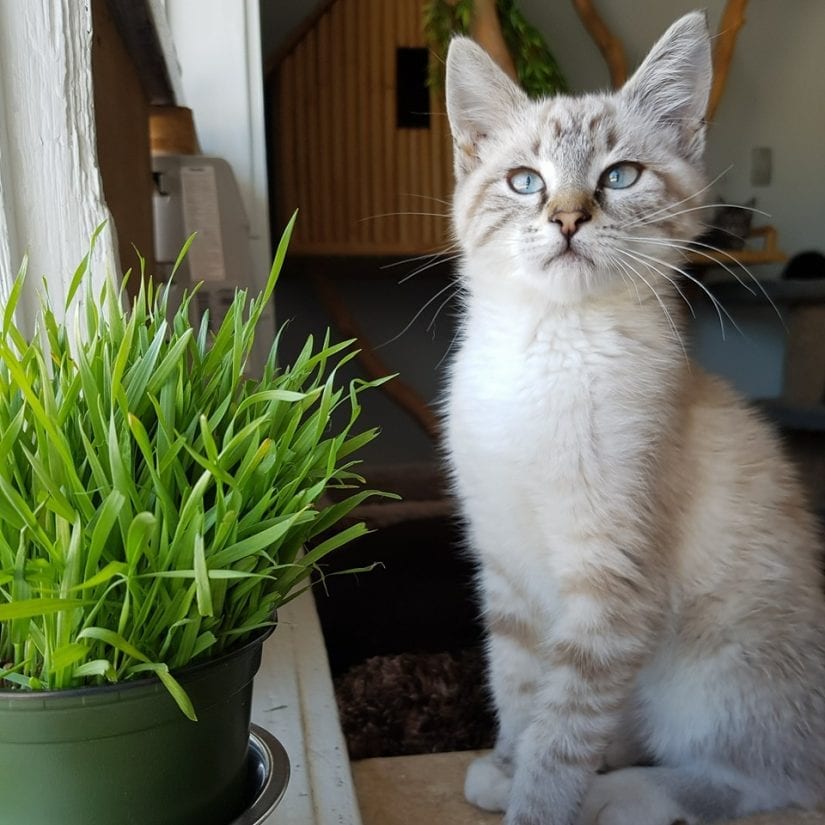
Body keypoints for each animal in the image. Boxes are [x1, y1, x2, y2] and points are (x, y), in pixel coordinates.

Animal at [444, 11, 824, 824]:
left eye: (619, 176)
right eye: (525, 181)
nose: (566, 218)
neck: (550, 344)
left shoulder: (611, 588)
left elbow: (562, 730)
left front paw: (535, 804)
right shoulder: (509, 573)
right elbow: (520, 692)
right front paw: (507, 766)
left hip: (709, 674)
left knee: (765, 776)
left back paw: (621, 793)